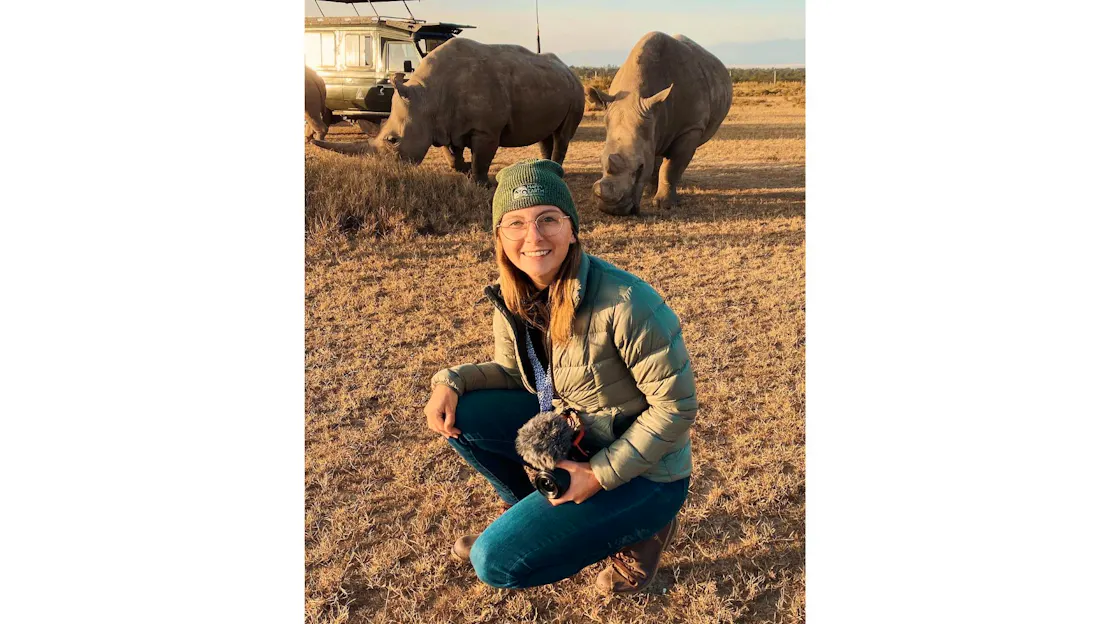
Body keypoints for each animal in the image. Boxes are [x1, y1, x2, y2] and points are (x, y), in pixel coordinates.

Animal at [311, 38, 585, 185]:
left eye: (392, 140)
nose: (384, 173)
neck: (427, 96)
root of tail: (568, 69)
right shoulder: (443, 124)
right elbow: (451, 152)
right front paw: (463, 169)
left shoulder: (485, 129)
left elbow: (482, 156)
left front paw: (480, 183)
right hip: (551, 84)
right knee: (546, 135)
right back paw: (546, 168)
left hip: (576, 89)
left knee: (562, 135)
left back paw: (557, 173)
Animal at [587, 32, 732, 215]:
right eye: (601, 161)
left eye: (639, 168)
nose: (611, 210)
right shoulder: (650, 119)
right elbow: (655, 160)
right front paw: (650, 195)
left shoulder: (690, 127)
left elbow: (672, 167)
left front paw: (665, 205)